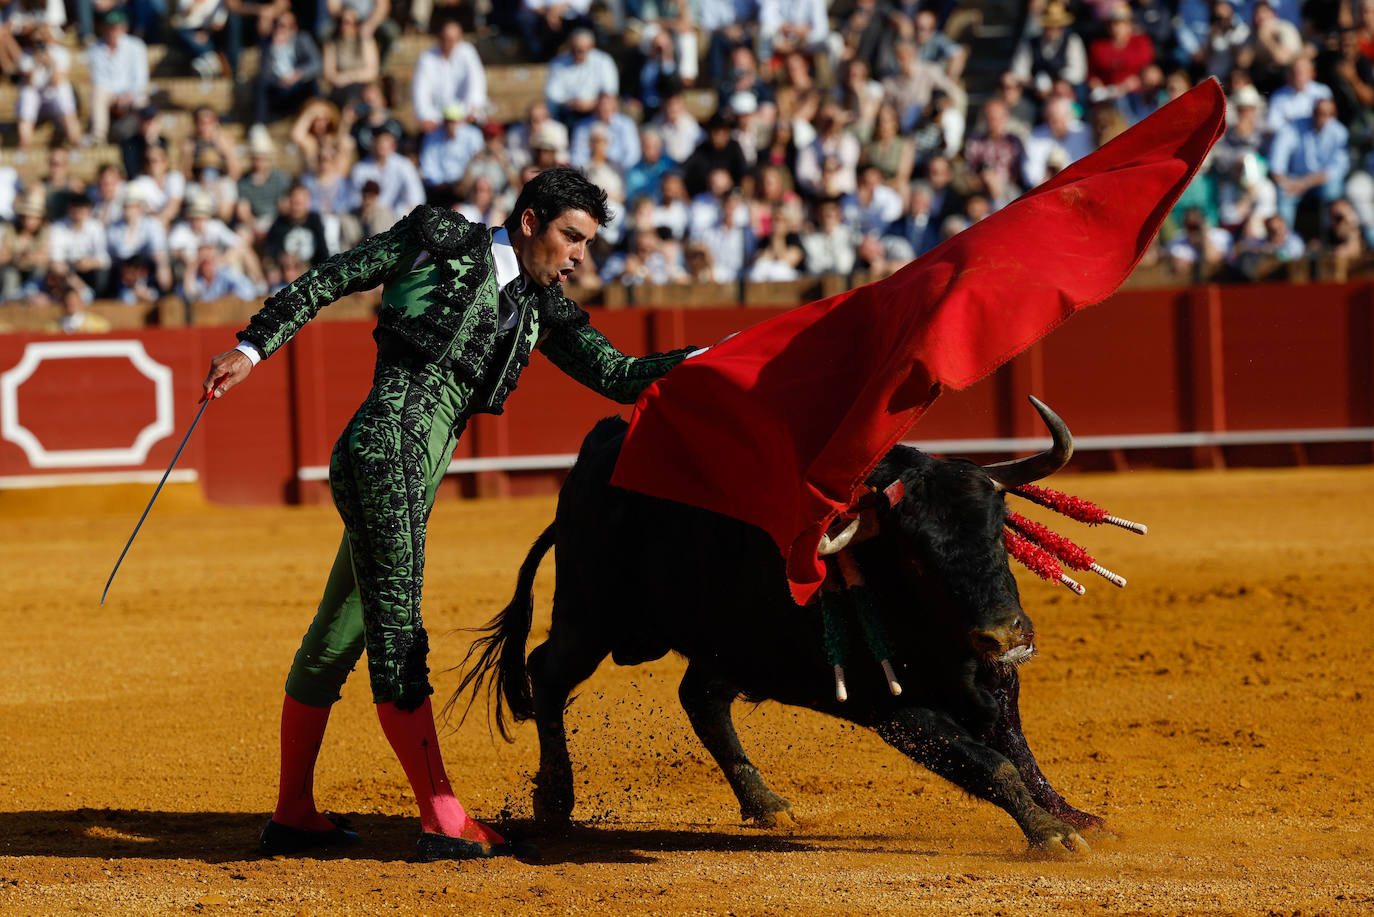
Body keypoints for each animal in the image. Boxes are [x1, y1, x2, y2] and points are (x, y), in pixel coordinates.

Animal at [456, 409, 1110, 852]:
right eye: (918, 556)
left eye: (998, 528)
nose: (1003, 635)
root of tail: (596, 454)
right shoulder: (895, 708)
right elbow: (990, 763)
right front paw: (1051, 835)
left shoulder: (994, 684)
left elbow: (1019, 752)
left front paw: (1080, 819)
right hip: (589, 616)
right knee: (547, 673)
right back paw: (554, 800)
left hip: (732, 641)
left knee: (700, 698)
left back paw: (766, 804)